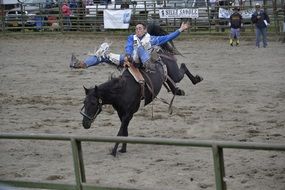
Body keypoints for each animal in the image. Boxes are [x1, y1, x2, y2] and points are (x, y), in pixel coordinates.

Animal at [81, 22, 203, 156]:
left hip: (175, 72)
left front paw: (113, 151)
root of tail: (157, 51)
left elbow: (120, 132)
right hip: (168, 77)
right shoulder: (121, 113)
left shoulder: (128, 114)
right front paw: (123, 149)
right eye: (84, 102)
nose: (85, 124)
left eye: (93, 103)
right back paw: (180, 90)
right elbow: (124, 131)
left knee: (183, 66)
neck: (122, 90)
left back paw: (197, 79)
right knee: (174, 85)